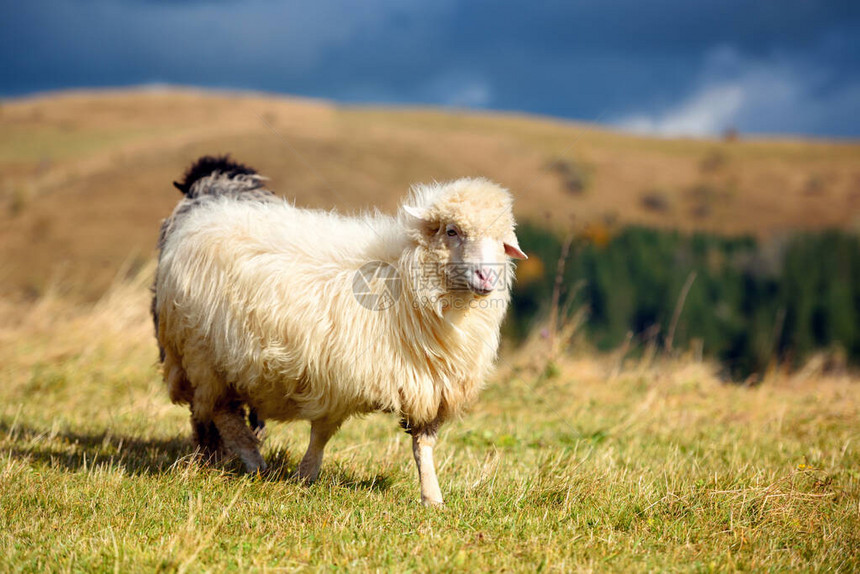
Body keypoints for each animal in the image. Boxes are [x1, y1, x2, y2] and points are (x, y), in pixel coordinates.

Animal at [152, 155, 528, 506]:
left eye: (501, 242)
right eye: (452, 231)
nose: (486, 276)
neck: (406, 282)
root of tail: (205, 215)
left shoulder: (428, 386)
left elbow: (423, 447)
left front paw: (431, 497)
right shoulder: (335, 376)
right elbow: (321, 434)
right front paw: (305, 476)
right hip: (204, 357)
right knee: (224, 415)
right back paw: (256, 466)